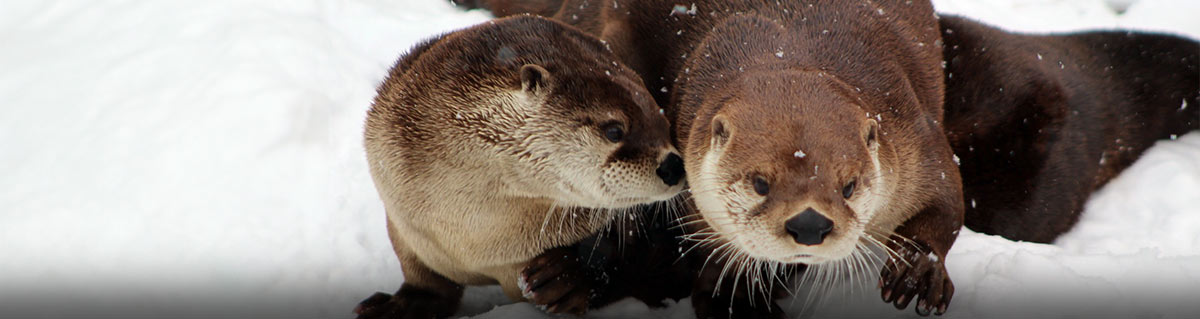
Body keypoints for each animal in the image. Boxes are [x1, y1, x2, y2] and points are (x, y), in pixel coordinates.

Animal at [352, 14, 686, 316]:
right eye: (614, 130)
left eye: (664, 124)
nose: (674, 166)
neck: (475, 236)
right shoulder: (403, 223)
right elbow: (426, 281)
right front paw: (398, 306)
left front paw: (567, 278)